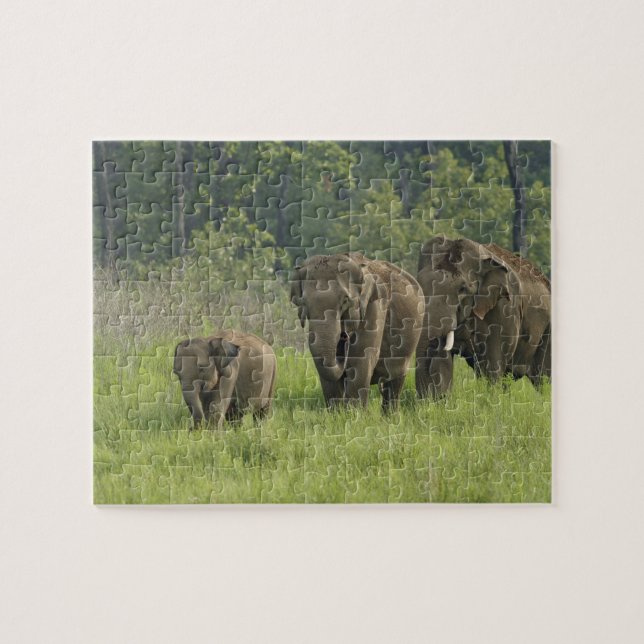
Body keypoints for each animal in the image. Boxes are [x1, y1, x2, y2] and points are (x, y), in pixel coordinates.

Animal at [290, 252, 424, 411]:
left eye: (345, 301)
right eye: (303, 302)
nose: (344, 337)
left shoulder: (375, 308)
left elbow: (360, 361)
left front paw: (355, 414)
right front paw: (337, 413)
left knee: (395, 382)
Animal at [415, 235, 551, 398]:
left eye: (462, 289)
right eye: (419, 284)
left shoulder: (504, 308)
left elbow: (493, 361)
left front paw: (491, 400)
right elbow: (441, 358)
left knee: (543, 377)